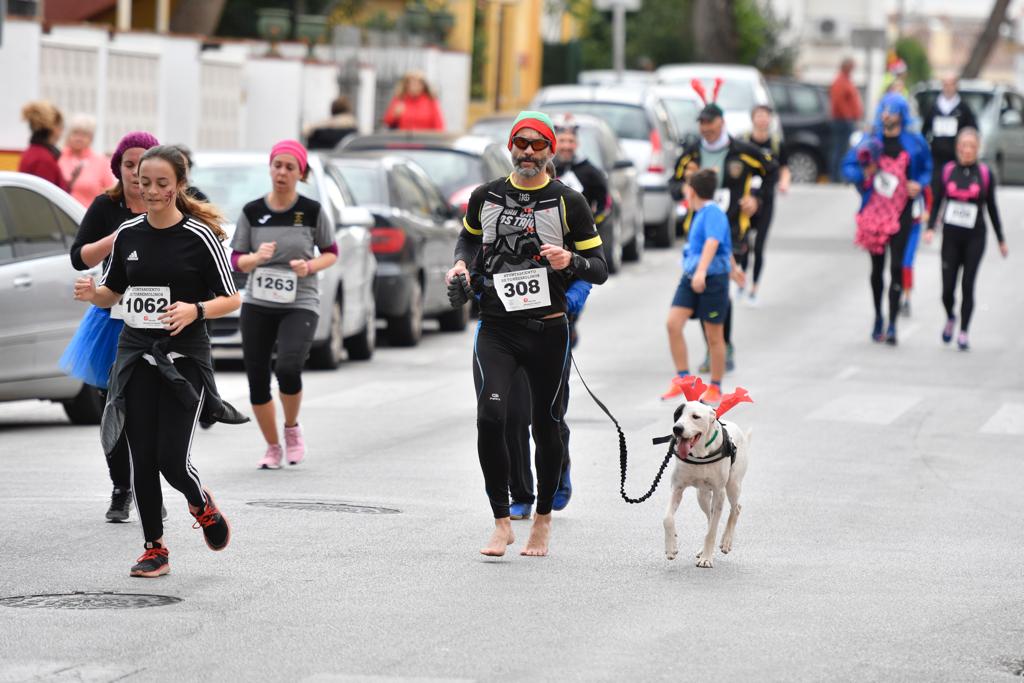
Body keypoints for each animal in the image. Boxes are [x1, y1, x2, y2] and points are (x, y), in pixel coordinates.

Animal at [663, 401, 753, 565]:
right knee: (710, 518)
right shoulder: (677, 488)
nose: (677, 428)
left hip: (733, 485)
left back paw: (726, 542)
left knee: (735, 509)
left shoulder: (719, 492)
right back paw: (703, 549)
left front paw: (706, 558)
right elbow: (667, 518)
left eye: (695, 416)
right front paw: (671, 548)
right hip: (702, 495)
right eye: (677, 414)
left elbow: (712, 531)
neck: (700, 453)